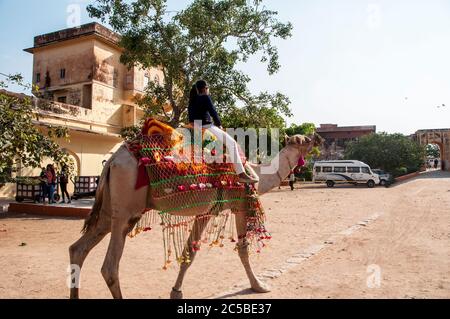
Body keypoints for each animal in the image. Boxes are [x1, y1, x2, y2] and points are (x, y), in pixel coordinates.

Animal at [69, 134, 316, 300]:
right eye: (303, 140)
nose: (316, 137)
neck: (257, 173)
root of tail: (111, 162)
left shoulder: (208, 211)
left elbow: (190, 251)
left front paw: (176, 292)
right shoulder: (239, 205)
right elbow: (243, 250)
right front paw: (259, 286)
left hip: (108, 212)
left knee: (78, 249)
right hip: (126, 211)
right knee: (110, 267)